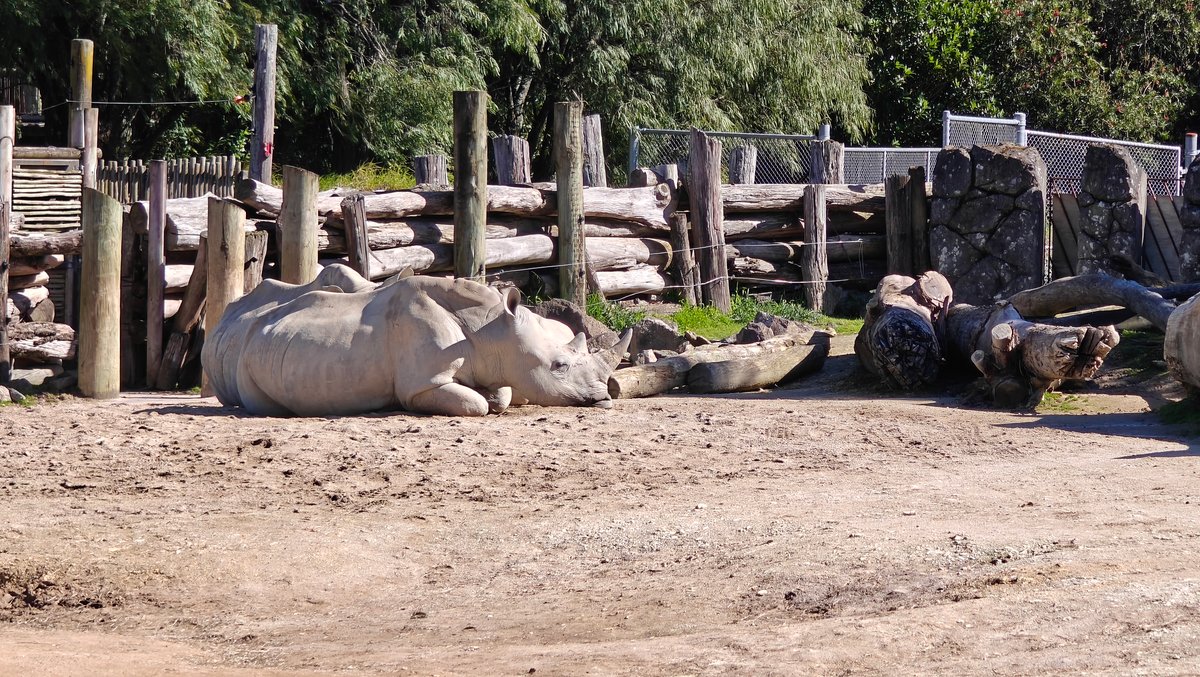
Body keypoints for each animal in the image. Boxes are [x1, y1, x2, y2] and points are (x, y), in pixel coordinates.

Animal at [201, 264, 631, 417]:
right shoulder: (423, 384)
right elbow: (477, 405)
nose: (602, 396)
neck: (490, 330)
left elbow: (501, 394)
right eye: (558, 366)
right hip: (246, 354)